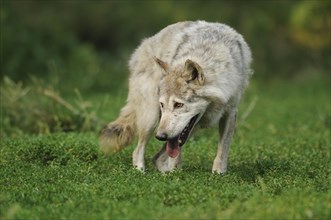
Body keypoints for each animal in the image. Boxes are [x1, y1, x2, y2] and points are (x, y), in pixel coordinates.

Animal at [100, 20, 253, 174]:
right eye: (162, 104)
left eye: (178, 105)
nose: (160, 136)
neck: (211, 54)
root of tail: (145, 43)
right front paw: (175, 176)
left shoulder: (231, 111)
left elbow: (222, 151)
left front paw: (218, 174)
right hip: (151, 118)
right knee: (138, 151)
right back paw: (141, 172)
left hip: (191, 128)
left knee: (157, 158)